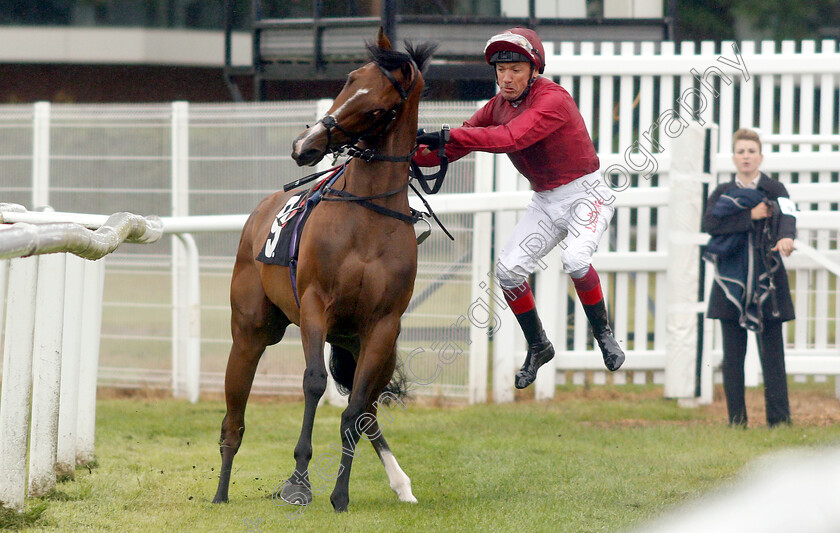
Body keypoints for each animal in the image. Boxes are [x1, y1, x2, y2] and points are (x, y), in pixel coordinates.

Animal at [210, 29, 436, 512]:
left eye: (379, 106)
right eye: (350, 79)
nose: (304, 145)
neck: (366, 214)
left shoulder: (382, 325)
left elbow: (356, 408)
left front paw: (341, 493)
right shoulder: (316, 305)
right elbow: (313, 384)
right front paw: (299, 482)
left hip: (369, 346)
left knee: (368, 409)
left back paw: (401, 482)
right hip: (251, 333)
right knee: (233, 417)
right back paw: (220, 491)